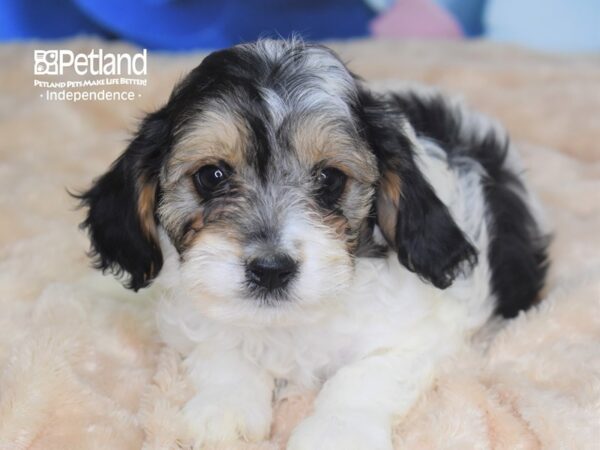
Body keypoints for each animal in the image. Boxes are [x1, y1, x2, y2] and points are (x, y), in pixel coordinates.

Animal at [78, 39, 548, 450]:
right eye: (211, 176)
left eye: (330, 179)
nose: (270, 269)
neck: (290, 322)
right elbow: (223, 349)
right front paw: (223, 411)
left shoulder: (419, 335)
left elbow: (363, 377)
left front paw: (337, 434)